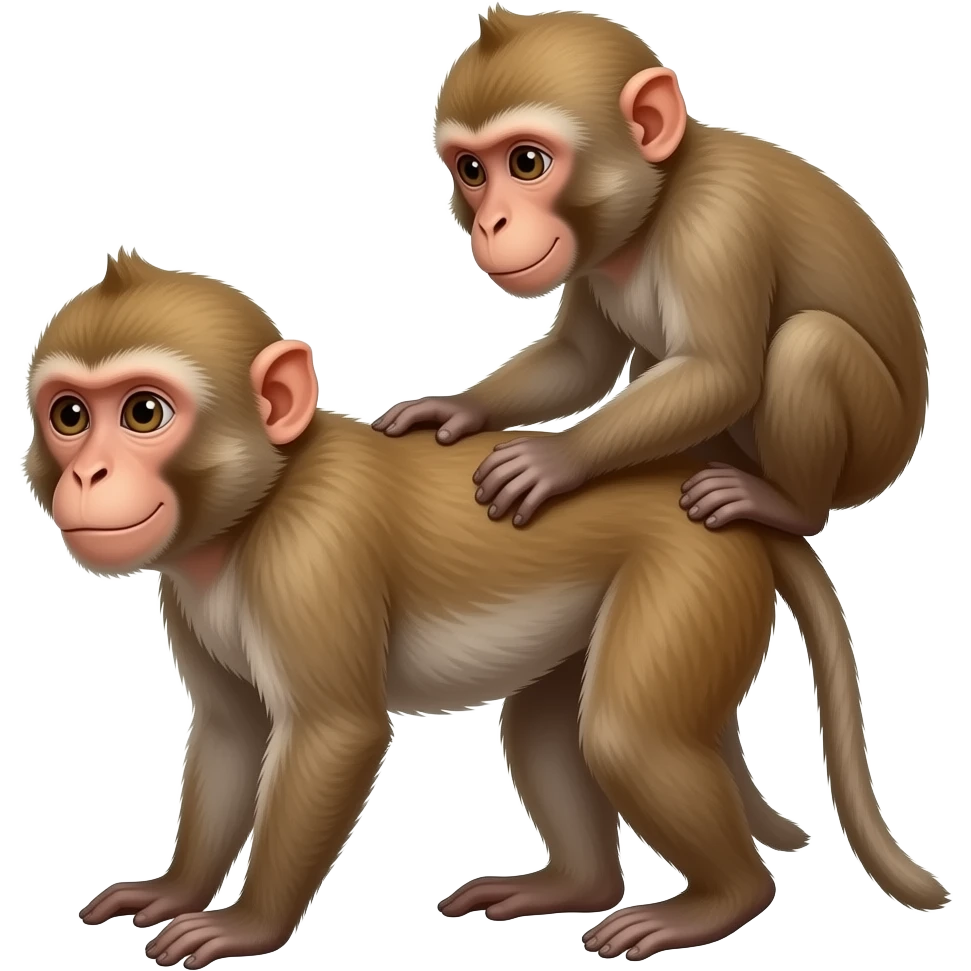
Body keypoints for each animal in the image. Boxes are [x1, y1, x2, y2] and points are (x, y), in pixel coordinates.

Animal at [27, 252, 946, 967]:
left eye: (144, 412)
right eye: (69, 414)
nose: (89, 475)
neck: (255, 506)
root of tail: (713, 496)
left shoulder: (309, 559)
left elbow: (334, 733)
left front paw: (247, 925)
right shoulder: (185, 588)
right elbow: (228, 729)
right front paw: (175, 887)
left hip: (693, 576)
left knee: (625, 731)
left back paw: (717, 901)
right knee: (544, 720)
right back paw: (573, 884)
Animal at [374, 6, 929, 541]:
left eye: (527, 162)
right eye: (471, 170)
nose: (491, 224)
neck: (659, 203)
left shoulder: (717, 223)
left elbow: (717, 373)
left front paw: (556, 457)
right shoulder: (593, 255)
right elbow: (582, 361)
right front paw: (459, 407)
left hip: (873, 447)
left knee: (810, 344)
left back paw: (788, 506)